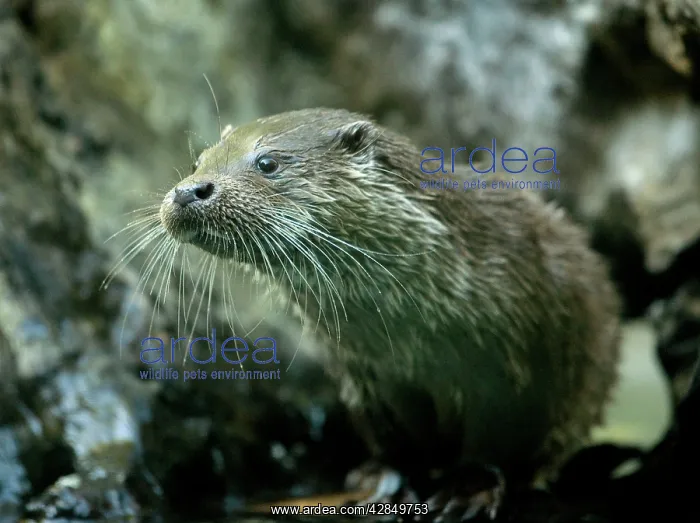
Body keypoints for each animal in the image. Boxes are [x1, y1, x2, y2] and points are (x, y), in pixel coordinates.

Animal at [159, 108, 621, 520]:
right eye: (199, 161)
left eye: (268, 162)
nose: (188, 190)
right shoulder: (369, 376)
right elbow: (395, 442)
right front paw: (378, 482)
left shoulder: (514, 365)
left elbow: (497, 440)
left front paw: (468, 489)